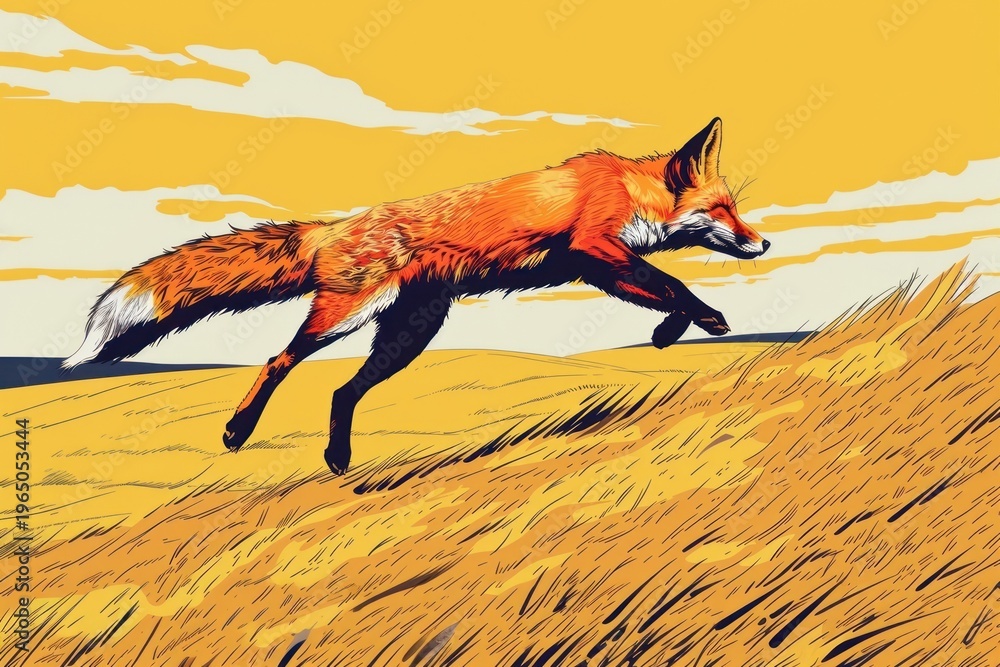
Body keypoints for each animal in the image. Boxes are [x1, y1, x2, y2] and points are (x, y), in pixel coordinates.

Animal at [64, 118, 768, 475]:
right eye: (722, 211)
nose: (761, 243)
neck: (629, 189)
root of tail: (337, 225)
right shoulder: (593, 248)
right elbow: (674, 283)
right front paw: (704, 319)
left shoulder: (597, 267)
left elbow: (663, 292)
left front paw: (671, 332)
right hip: (345, 316)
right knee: (278, 361)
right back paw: (239, 430)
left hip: (408, 332)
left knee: (340, 391)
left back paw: (338, 457)